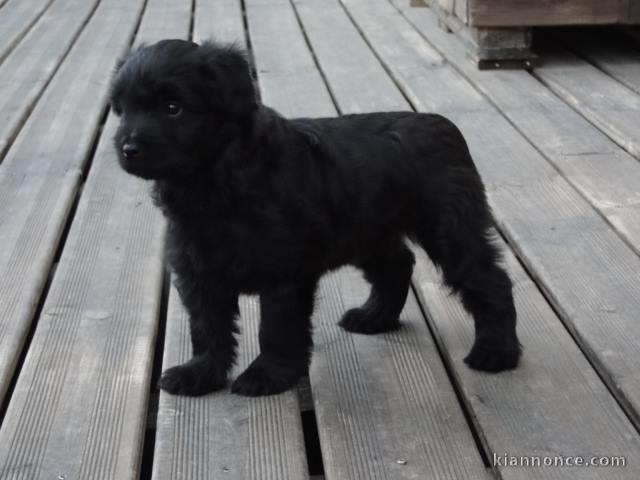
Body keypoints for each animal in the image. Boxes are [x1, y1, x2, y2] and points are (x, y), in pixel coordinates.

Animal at [110, 38, 520, 398]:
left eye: (173, 107)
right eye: (123, 108)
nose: (128, 148)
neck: (214, 179)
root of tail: (444, 126)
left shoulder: (283, 275)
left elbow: (277, 328)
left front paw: (267, 375)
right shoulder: (199, 272)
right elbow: (207, 327)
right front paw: (200, 373)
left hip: (450, 229)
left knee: (490, 281)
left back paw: (496, 351)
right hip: (368, 233)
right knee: (397, 265)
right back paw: (374, 317)